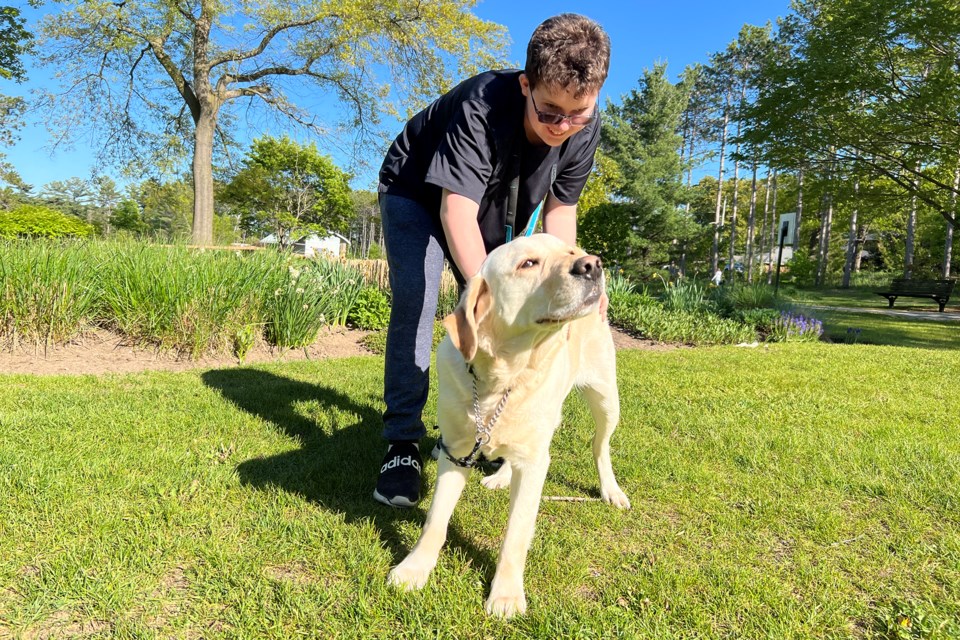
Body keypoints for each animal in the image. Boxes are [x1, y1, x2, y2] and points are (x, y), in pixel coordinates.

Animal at [386, 232, 628, 616]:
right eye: (528, 263)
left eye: (571, 252)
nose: (592, 264)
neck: (503, 377)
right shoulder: (455, 453)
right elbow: (435, 520)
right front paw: (414, 568)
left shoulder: (534, 462)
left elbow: (516, 533)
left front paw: (506, 594)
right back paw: (500, 476)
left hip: (606, 399)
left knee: (599, 445)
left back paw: (611, 489)